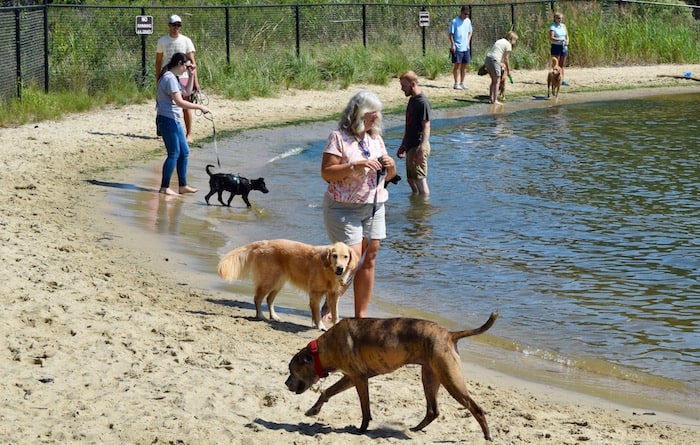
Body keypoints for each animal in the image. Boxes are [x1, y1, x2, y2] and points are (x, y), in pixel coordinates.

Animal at [216, 239, 358, 330]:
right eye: (334, 256)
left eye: (345, 256)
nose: (340, 268)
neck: (328, 270)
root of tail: (264, 242)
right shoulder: (315, 294)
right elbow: (317, 314)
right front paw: (320, 326)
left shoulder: (334, 295)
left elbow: (335, 314)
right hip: (268, 281)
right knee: (257, 298)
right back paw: (261, 315)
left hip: (278, 283)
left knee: (269, 299)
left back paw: (273, 316)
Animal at [284, 310, 498, 438]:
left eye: (292, 370)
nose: (286, 384)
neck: (320, 350)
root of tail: (450, 334)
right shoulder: (351, 378)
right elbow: (327, 392)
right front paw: (314, 410)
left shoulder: (358, 379)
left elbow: (364, 409)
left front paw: (361, 429)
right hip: (430, 376)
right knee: (433, 410)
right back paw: (416, 429)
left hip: (450, 379)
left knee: (476, 408)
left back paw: (487, 435)